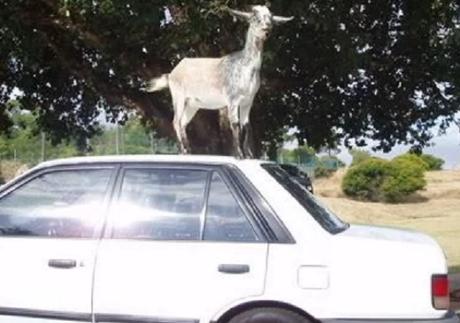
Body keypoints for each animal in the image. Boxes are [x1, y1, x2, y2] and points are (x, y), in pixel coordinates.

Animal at [143, 4, 294, 157]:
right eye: (255, 19)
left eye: (271, 20)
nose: (266, 30)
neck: (245, 65)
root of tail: (172, 73)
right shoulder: (232, 99)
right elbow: (235, 124)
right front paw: (240, 155)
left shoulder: (248, 101)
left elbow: (246, 126)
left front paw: (249, 155)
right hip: (178, 97)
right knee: (175, 121)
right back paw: (183, 150)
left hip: (192, 104)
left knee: (183, 122)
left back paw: (189, 151)